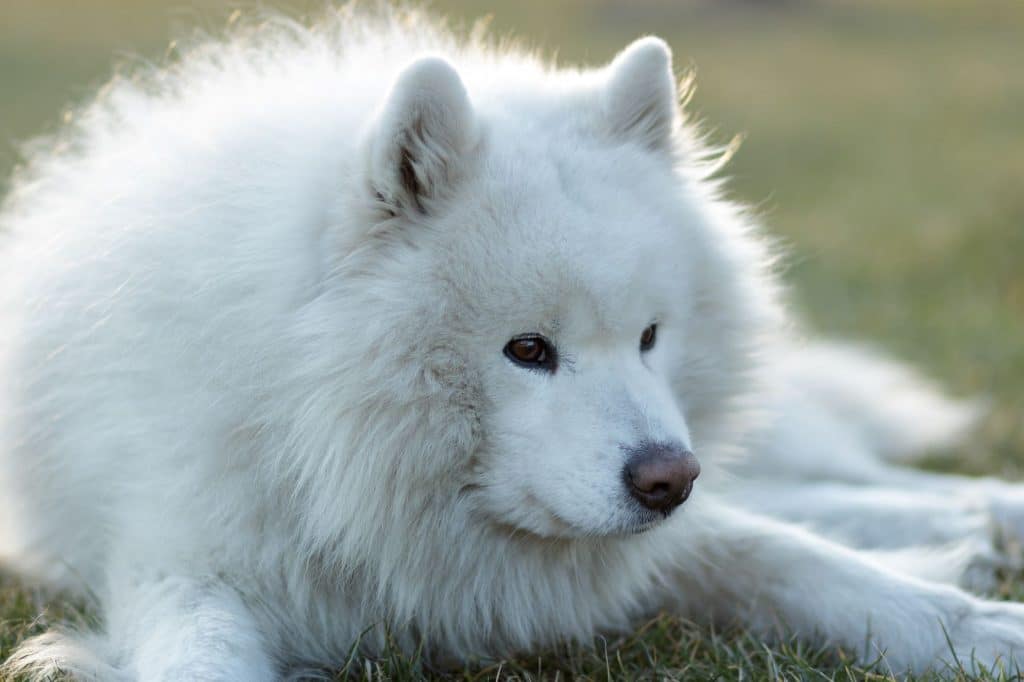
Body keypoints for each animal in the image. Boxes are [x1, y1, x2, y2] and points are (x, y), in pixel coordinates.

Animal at [2, 6, 1024, 679]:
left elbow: (793, 561)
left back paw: (978, 520)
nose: (668, 478)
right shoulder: (183, 564)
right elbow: (204, 660)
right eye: (527, 350)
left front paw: (979, 631)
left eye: (650, 336)